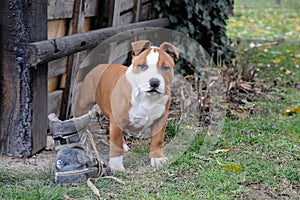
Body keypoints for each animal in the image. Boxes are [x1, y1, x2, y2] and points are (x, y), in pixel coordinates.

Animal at [75, 40, 178, 170]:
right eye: (143, 66)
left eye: (165, 67)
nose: (154, 82)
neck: (147, 97)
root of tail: (101, 65)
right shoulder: (117, 119)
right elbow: (116, 142)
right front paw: (116, 167)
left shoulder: (161, 118)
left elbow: (157, 140)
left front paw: (157, 158)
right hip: (84, 103)